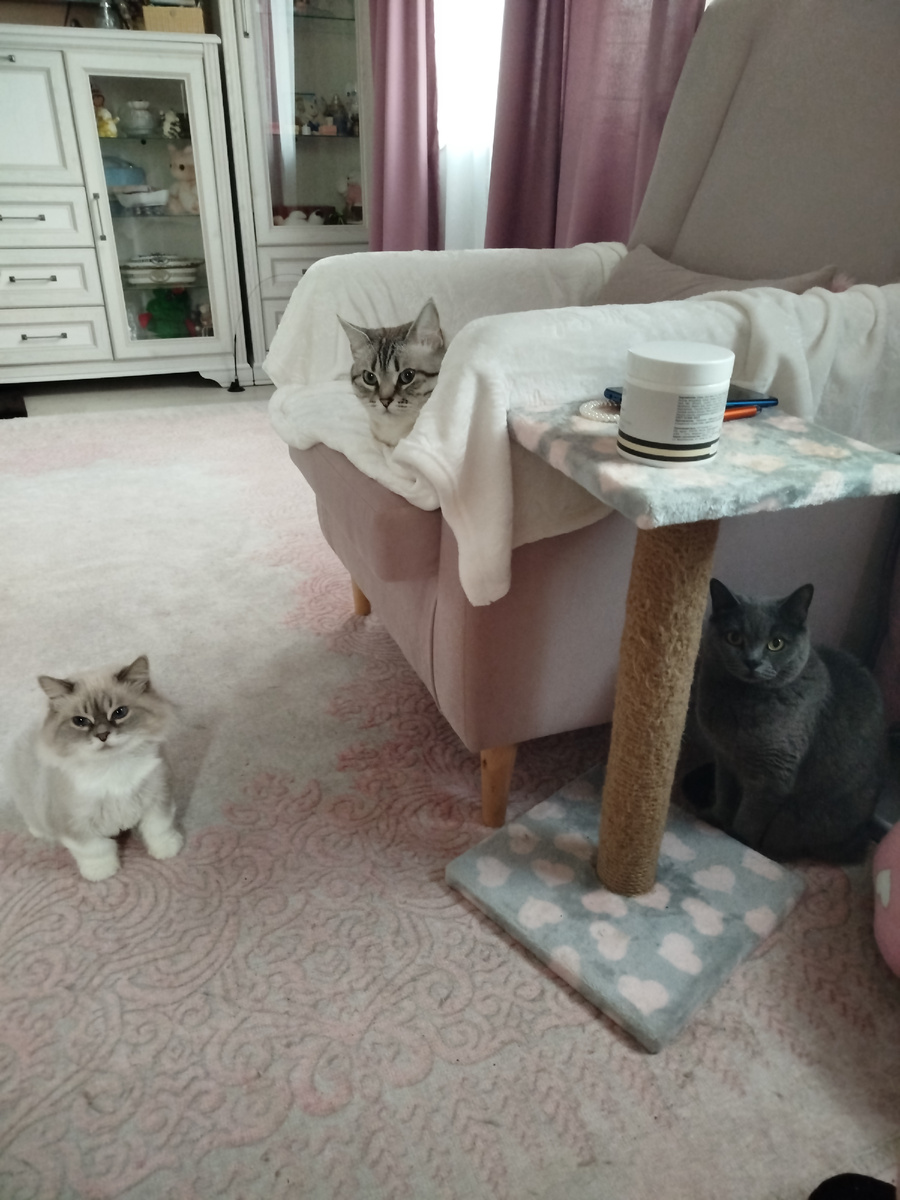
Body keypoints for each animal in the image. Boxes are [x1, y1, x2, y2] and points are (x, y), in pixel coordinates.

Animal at [5, 656, 183, 881]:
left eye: (119, 712)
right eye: (80, 721)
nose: (102, 735)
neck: (112, 767)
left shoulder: (158, 799)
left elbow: (158, 830)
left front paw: (167, 851)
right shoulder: (77, 826)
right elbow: (96, 850)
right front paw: (102, 873)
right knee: (33, 819)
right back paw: (39, 832)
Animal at [687, 578, 886, 863]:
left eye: (776, 643)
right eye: (734, 637)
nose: (752, 661)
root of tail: (859, 838)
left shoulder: (772, 776)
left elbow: (749, 818)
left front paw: (735, 842)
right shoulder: (724, 759)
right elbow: (725, 795)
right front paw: (714, 820)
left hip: (795, 820)